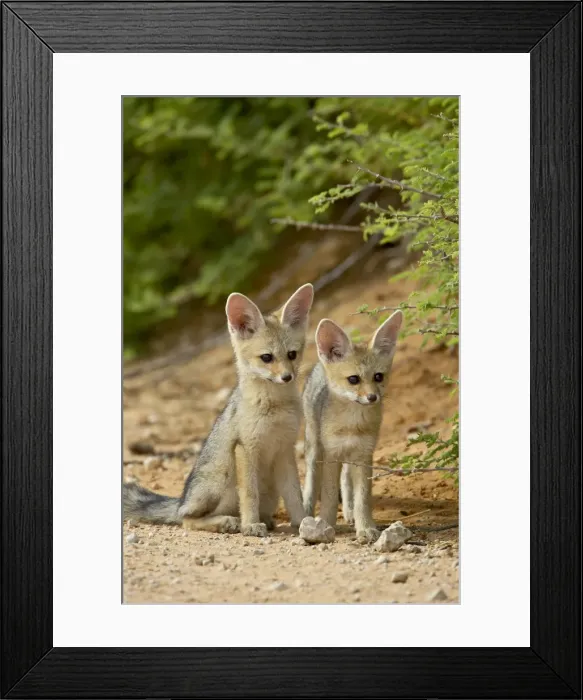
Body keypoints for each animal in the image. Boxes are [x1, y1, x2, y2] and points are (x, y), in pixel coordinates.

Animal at [124, 283, 314, 537]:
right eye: (267, 357)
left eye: (292, 355)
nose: (287, 377)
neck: (275, 408)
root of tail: (181, 501)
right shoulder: (245, 448)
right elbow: (249, 495)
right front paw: (251, 525)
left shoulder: (284, 450)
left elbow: (294, 495)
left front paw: (304, 522)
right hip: (221, 480)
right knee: (188, 520)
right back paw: (227, 522)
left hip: (269, 489)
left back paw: (262, 520)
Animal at [302, 310, 403, 543]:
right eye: (353, 379)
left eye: (378, 376)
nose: (372, 397)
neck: (352, 426)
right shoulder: (332, 454)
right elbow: (329, 496)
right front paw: (325, 525)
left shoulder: (364, 454)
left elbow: (362, 499)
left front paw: (365, 527)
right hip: (315, 448)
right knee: (311, 481)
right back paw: (306, 512)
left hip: (349, 457)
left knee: (346, 481)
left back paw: (348, 513)